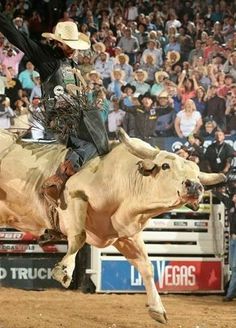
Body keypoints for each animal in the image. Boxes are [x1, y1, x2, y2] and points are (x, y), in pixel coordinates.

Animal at [0, 128, 226, 322]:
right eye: (165, 166)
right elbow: (79, 237)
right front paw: (63, 271)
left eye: (196, 173)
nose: (195, 186)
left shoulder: (125, 235)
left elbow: (146, 266)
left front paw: (157, 308)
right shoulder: (75, 196)